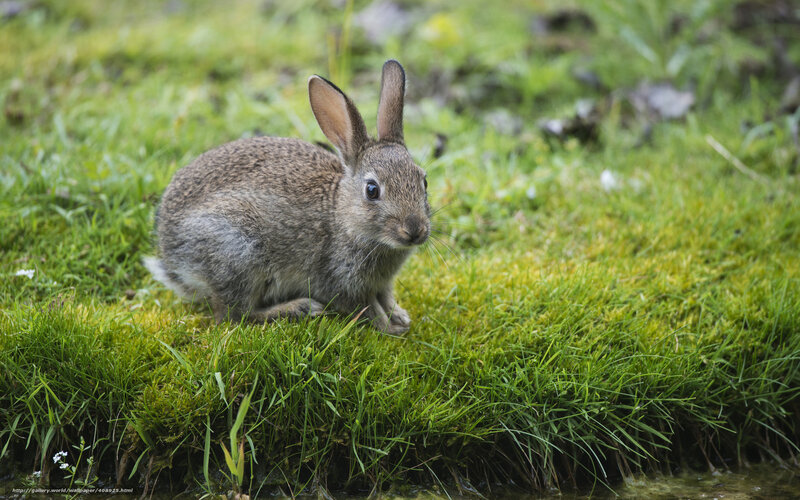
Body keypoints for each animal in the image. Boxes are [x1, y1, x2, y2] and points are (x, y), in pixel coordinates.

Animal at [144, 60, 430, 335]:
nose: (415, 230)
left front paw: (400, 317)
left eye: (423, 181)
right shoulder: (342, 281)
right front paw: (390, 328)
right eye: (372, 190)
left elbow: (386, 298)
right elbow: (367, 308)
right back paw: (300, 308)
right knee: (235, 316)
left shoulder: (382, 284)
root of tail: (171, 254)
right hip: (238, 253)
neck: (342, 216)